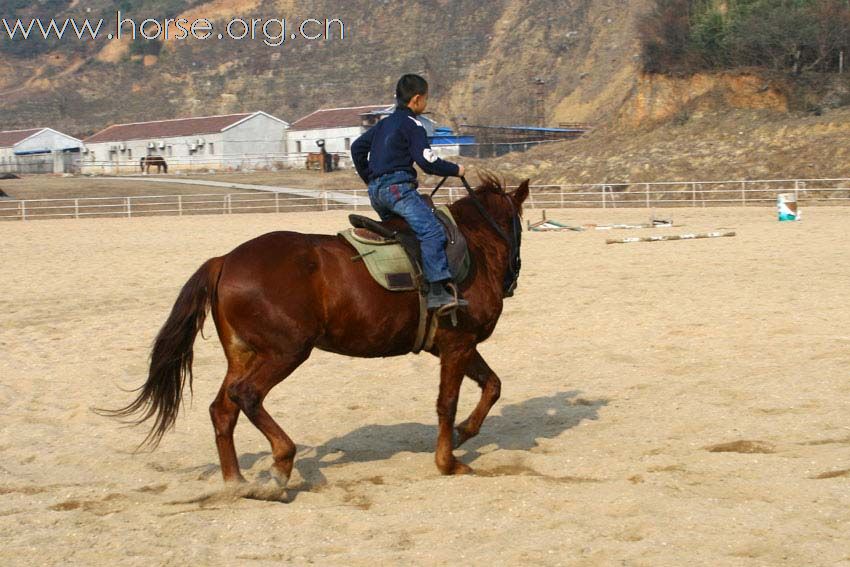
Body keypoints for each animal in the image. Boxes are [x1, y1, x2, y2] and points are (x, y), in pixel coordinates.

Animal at [107, 175, 524, 486]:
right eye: (517, 226)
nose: (511, 280)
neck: (474, 246)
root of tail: (224, 260)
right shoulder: (457, 344)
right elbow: (448, 402)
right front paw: (448, 460)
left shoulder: (456, 346)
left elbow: (492, 385)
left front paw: (463, 433)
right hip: (286, 352)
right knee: (247, 396)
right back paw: (281, 461)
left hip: (243, 354)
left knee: (223, 409)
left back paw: (235, 481)